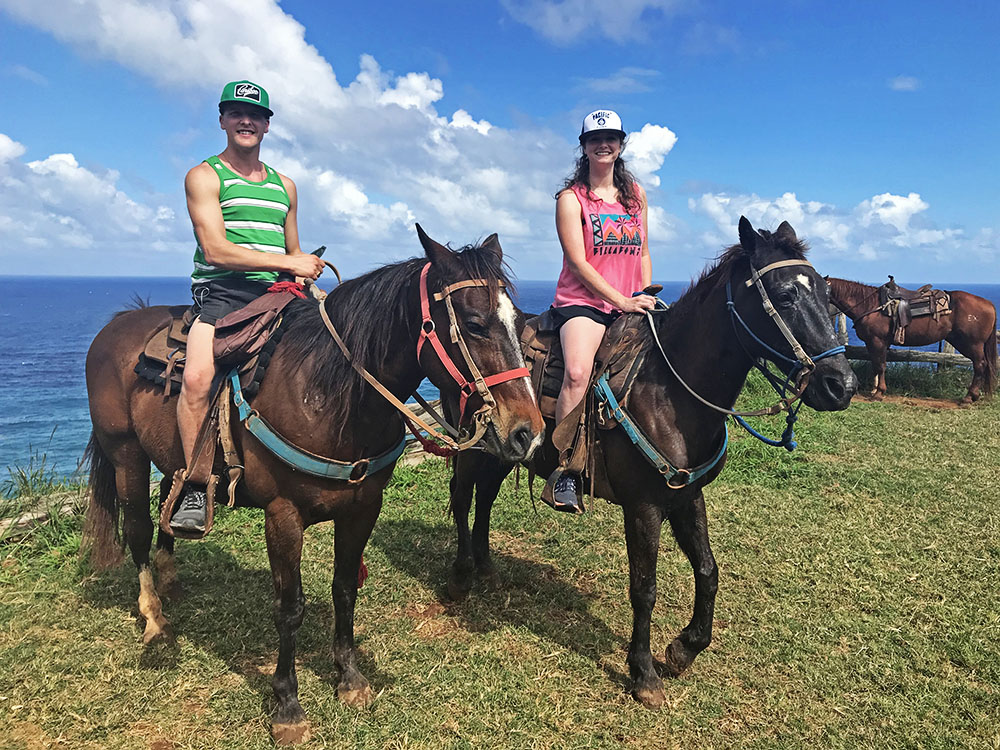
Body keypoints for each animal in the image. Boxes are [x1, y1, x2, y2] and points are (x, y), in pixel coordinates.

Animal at [82, 229, 544, 748]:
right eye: (474, 323)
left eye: (518, 322)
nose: (527, 432)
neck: (330, 394)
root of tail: (120, 323)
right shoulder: (283, 516)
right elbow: (290, 608)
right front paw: (287, 704)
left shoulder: (364, 507)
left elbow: (344, 589)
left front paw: (350, 678)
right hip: (125, 453)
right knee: (138, 529)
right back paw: (154, 617)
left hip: (172, 456)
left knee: (171, 497)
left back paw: (171, 573)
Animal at [450, 219, 856, 712]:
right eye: (784, 296)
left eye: (827, 294)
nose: (841, 385)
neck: (670, 391)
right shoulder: (643, 507)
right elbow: (644, 588)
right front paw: (643, 672)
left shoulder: (687, 496)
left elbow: (708, 570)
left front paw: (684, 648)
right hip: (476, 447)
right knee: (462, 497)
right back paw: (463, 575)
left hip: (504, 451)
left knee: (485, 499)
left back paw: (487, 568)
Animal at [824, 278, 996, 406]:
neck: (870, 305)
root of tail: (990, 305)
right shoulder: (873, 343)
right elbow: (875, 366)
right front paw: (874, 390)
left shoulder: (877, 341)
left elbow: (880, 366)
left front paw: (879, 393)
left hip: (972, 344)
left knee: (980, 365)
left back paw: (968, 397)